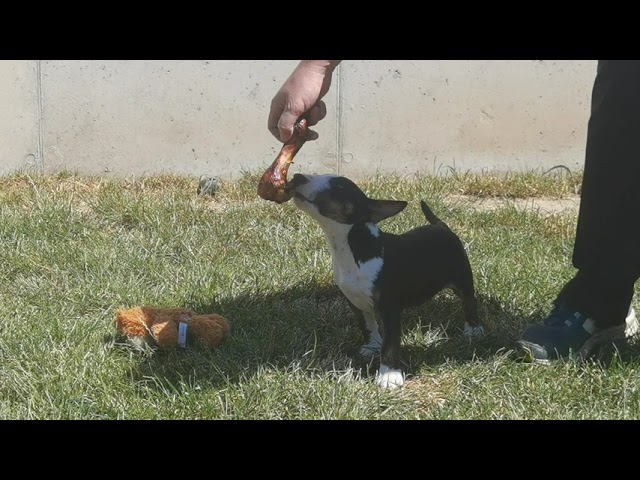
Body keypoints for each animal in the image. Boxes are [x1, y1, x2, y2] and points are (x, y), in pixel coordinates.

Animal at [288, 173, 482, 390]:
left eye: (338, 186)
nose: (297, 176)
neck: (353, 247)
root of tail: (441, 226)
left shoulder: (389, 307)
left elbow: (390, 343)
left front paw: (389, 376)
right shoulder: (354, 300)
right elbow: (366, 325)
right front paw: (372, 346)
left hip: (462, 277)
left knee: (469, 300)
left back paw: (473, 329)